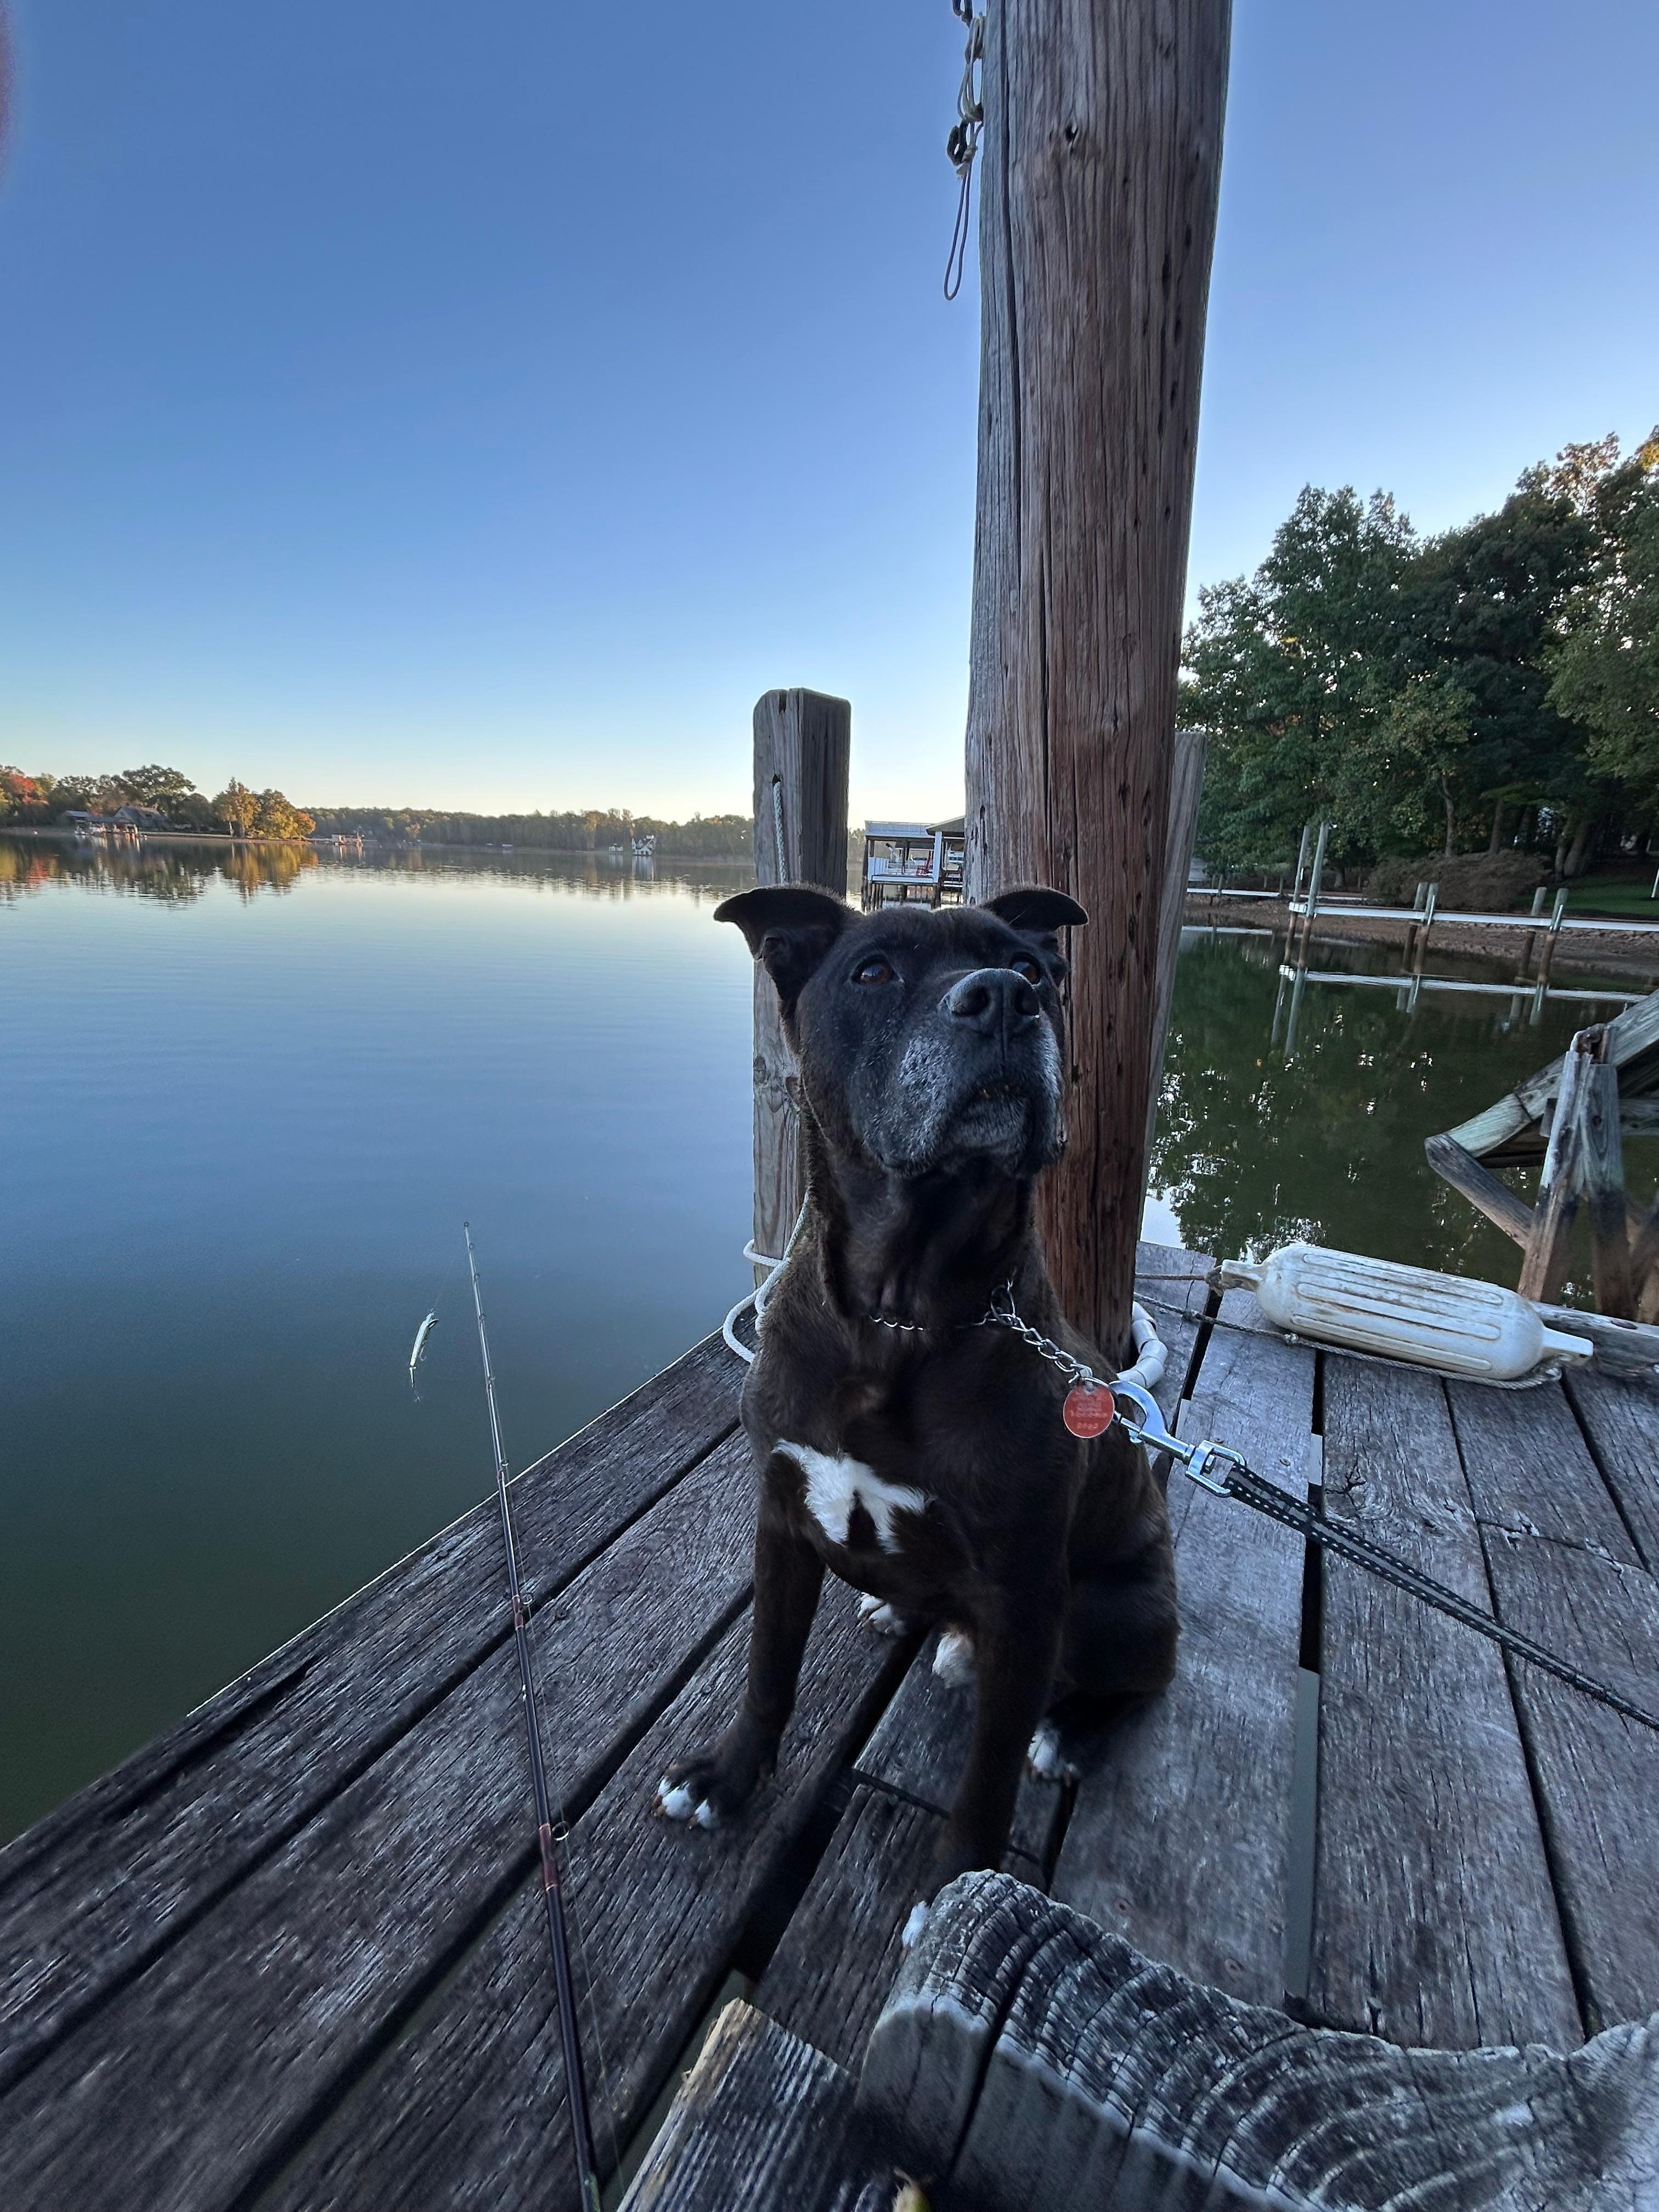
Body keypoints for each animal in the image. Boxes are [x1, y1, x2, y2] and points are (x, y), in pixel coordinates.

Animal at [655, 883, 1178, 1918]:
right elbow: (766, 1673)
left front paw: (958, 1886)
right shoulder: (782, 1522)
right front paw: (727, 1779)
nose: (1002, 1001)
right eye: (873, 971)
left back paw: (1069, 1732)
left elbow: (985, 1780)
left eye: (1030, 967)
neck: (899, 1313)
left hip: (1120, 1611)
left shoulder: (1024, 1598)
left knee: (1142, 1682)